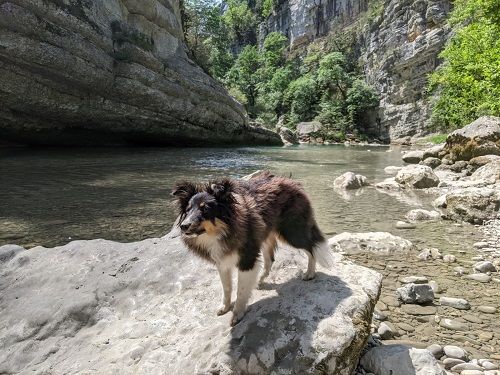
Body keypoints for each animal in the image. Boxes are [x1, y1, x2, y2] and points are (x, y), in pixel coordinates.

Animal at [172, 171, 332, 326]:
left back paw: (310, 273)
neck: (222, 232)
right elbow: (226, 287)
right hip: (265, 234)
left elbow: (241, 290)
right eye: (187, 210)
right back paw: (260, 279)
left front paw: (237, 314)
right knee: (270, 259)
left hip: (291, 232)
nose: (184, 226)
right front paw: (225, 307)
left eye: (205, 209)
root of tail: (294, 182)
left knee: (311, 247)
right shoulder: (222, 261)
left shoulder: (247, 258)